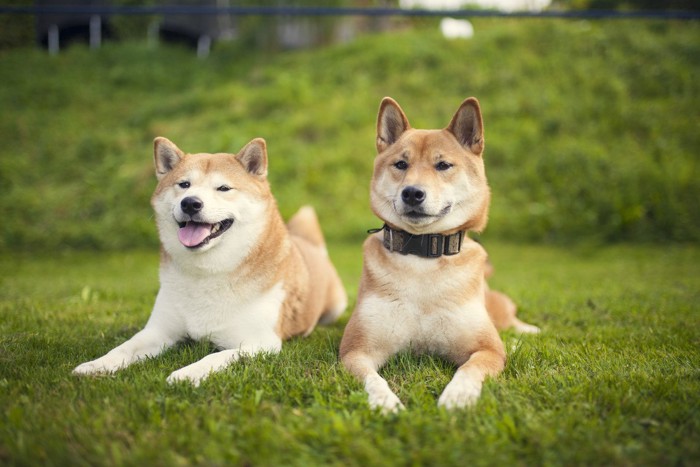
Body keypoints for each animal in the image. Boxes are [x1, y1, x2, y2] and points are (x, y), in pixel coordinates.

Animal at [74, 137, 348, 386]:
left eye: (223, 188)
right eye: (184, 185)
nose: (190, 202)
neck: (205, 274)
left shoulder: (260, 343)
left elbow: (217, 357)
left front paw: (186, 374)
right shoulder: (158, 331)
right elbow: (123, 348)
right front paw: (96, 365)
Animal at [342, 98, 540, 414]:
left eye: (443, 165)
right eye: (401, 164)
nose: (412, 193)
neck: (423, 256)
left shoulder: (487, 349)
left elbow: (470, 369)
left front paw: (458, 396)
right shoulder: (356, 350)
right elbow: (372, 379)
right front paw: (384, 401)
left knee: (511, 319)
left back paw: (529, 331)